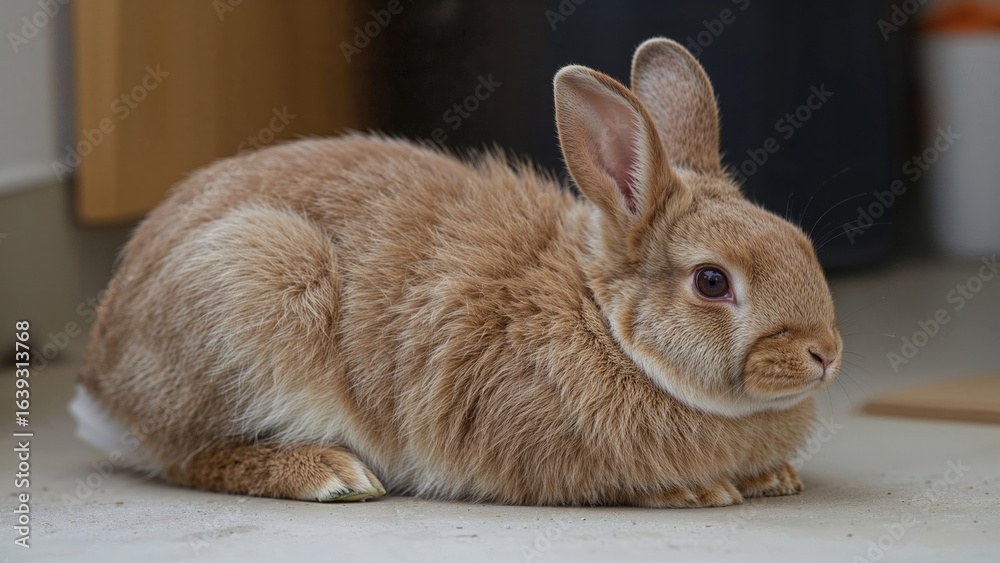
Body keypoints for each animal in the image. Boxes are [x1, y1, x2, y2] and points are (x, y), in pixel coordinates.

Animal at [72, 38, 841, 507]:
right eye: (712, 282)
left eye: (799, 241)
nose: (825, 355)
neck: (605, 323)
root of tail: (105, 381)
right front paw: (696, 490)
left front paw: (773, 476)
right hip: (257, 287)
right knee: (189, 457)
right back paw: (330, 474)